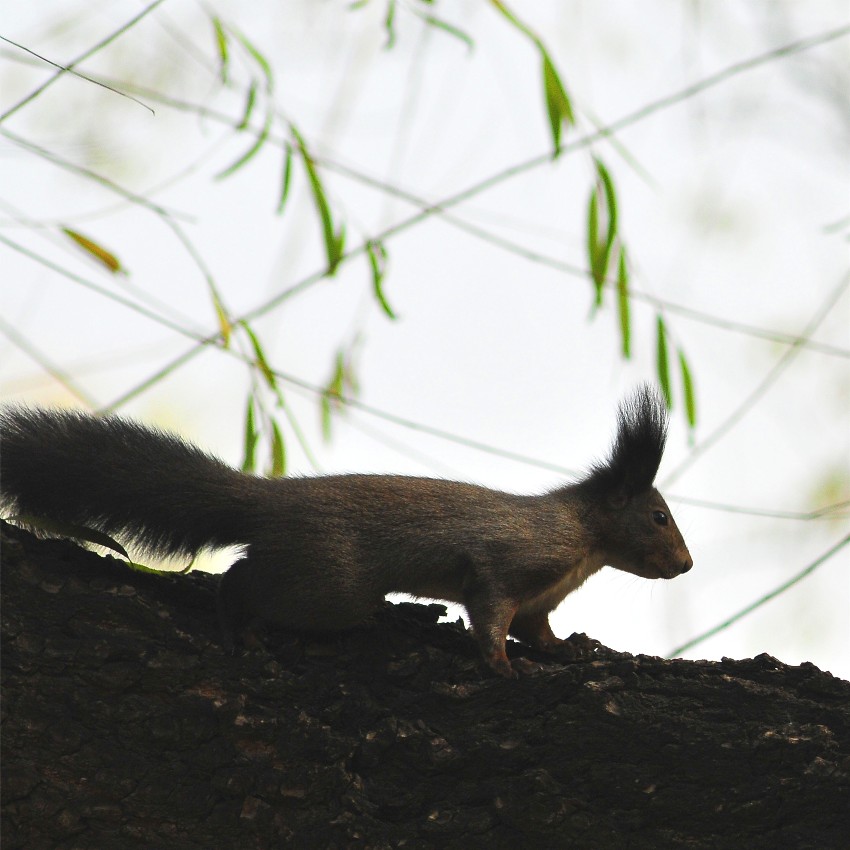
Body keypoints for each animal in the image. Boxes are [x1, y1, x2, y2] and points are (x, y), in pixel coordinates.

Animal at [0, 384, 688, 676]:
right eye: (658, 516)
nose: (684, 565)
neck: (584, 543)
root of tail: (270, 503)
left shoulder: (541, 598)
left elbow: (537, 630)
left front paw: (568, 650)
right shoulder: (511, 559)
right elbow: (490, 612)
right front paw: (499, 664)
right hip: (328, 587)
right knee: (241, 579)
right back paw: (239, 629)